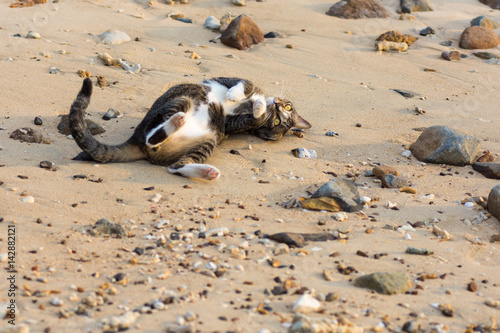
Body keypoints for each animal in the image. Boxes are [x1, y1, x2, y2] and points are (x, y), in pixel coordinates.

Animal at [69, 76, 312, 179]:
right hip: (182, 100)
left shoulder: (230, 124)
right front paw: (239, 95)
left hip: (206, 139)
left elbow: (255, 116)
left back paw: (206, 170)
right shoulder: (228, 79)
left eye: (278, 122)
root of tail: (135, 139)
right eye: (286, 109)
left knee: (171, 162)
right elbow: (247, 84)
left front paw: (258, 106)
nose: (277, 104)